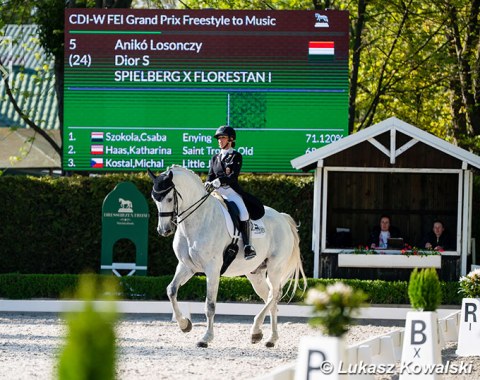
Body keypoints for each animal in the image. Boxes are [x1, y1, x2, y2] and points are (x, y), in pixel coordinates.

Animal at [148, 166, 306, 348]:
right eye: (154, 199)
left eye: (168, 198)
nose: (164, 230)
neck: (198, 220)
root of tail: (283, 218)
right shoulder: (186, 266)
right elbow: (171, 290)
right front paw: (184, 324)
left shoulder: (212, 269)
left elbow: (210, 305)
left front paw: (206, 338)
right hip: (256, 274)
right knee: (271, 298)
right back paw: (269, 338)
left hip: (275, 268)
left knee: (275, 294)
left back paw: (256, 330)